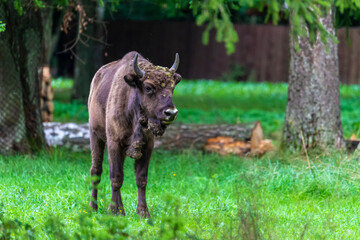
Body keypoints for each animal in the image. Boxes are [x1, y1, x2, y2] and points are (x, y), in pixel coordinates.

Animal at [87, 51, 181, 218]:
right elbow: (116, 176)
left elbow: (141, 178)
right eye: (148, 87)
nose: (171, 113)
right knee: (96, 171)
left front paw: (143, 212)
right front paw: (116, 211)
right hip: (95, 135)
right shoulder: (114, 143)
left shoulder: (147, 146)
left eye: (172, 87)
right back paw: (93, 207)